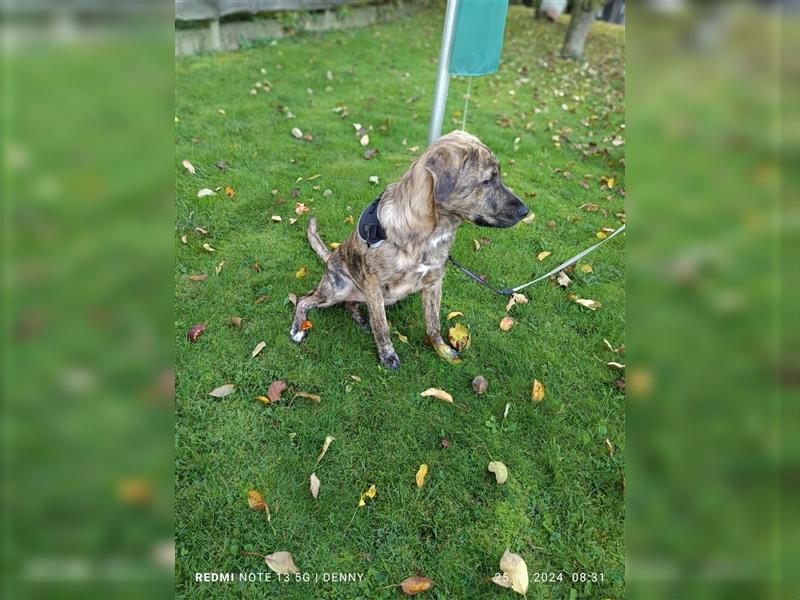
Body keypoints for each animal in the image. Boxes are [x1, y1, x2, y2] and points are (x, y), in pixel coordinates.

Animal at [290, 129, 528, 368]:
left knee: (350, 304)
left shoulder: (434, 283)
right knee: (305, 299)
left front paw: (442, 350)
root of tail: (331, 257)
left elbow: (433, 324)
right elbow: (382, 327)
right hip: (337, 288)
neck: (429, 234)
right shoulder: (374, 286)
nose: (525, 211)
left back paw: (360, 318)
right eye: (487, 180)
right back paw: (298, 327)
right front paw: (387, 355)